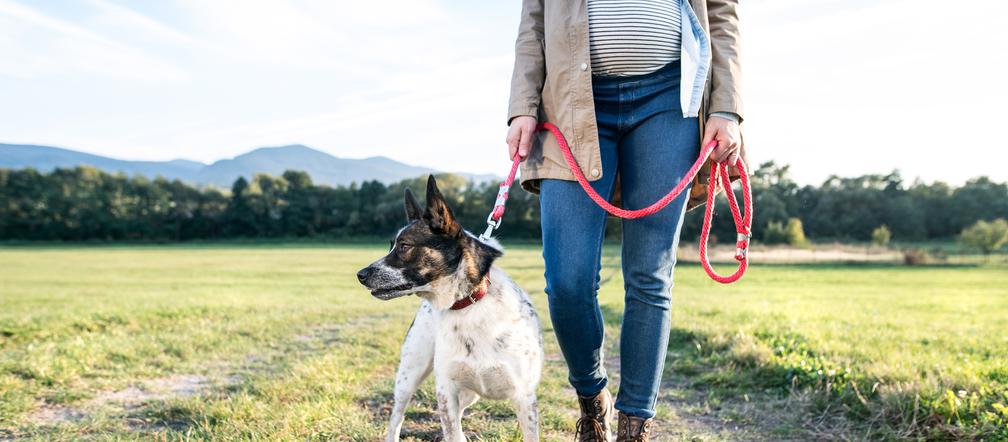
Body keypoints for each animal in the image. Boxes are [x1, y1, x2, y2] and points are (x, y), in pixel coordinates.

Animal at [354, 176, 544, 442]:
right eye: (391, 245)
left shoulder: (524, 398)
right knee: (397, 417)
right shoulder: (447, 393)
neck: (470, 303)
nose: (360, 275)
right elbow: (453, 432)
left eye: (404, 246)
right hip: (409, 375)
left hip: (467, 394)